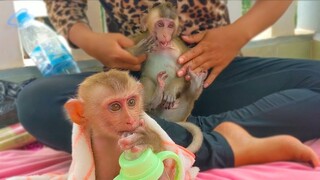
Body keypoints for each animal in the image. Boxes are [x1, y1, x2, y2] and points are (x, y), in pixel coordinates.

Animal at [127, 2, 205, 153]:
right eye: (160, 24)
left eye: (170, 26)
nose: (165, 34)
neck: (161, 47)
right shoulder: (142, 38)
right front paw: (138, 50)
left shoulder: (180, 47)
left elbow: (184, 71)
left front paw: (171, 90)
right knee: (146, 81)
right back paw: (155, 98)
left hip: (176, 113)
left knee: (187, 96)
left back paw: (194, 86)